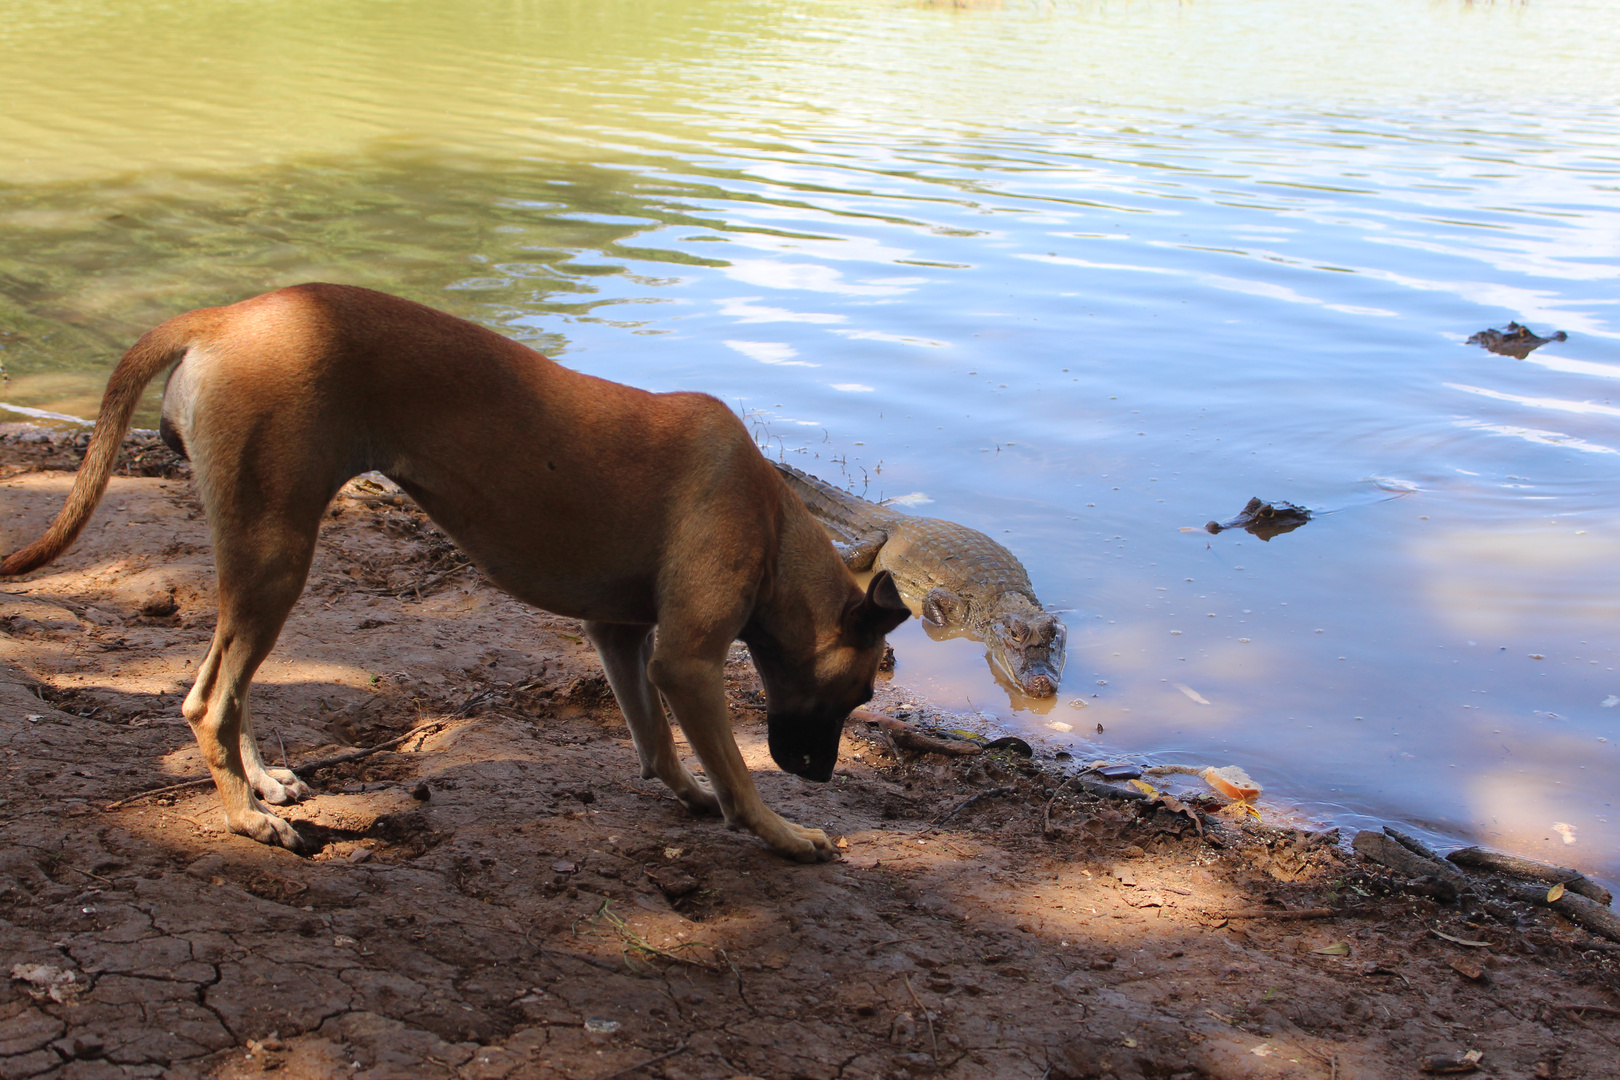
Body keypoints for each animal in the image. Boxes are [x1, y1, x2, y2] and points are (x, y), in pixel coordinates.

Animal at [3, 284, 913, 861]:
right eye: (863, 690)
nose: (821, 773)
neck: (772, 521)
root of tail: (225, 316)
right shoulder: (686, 661)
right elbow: (736, 770)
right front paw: (782, 832)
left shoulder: (621, 638)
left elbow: (656, 742)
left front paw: (694, 793)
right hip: (276, 559)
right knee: (207, 702)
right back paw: (247, 822)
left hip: (255, 560)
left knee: (224, 691)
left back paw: (260, 785)